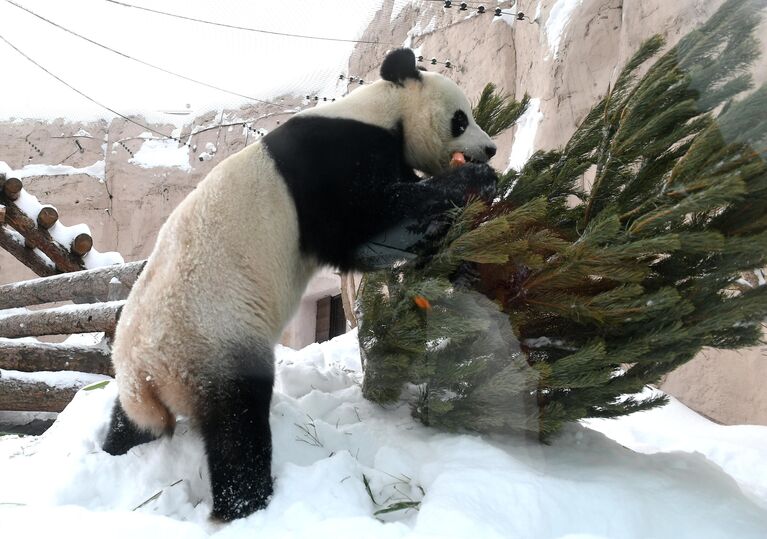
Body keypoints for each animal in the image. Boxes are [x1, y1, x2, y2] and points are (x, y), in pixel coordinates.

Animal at [102, 48, 498, 520]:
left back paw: (114, 451)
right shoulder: (330, 163)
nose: (490, 148)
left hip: (145, 369)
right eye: (461, 119)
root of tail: (146, 372)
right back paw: (246, 504)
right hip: (211, 340)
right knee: (237, 423)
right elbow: (367, 226)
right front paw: (476, 183)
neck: (382, 110)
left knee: (131, 422)